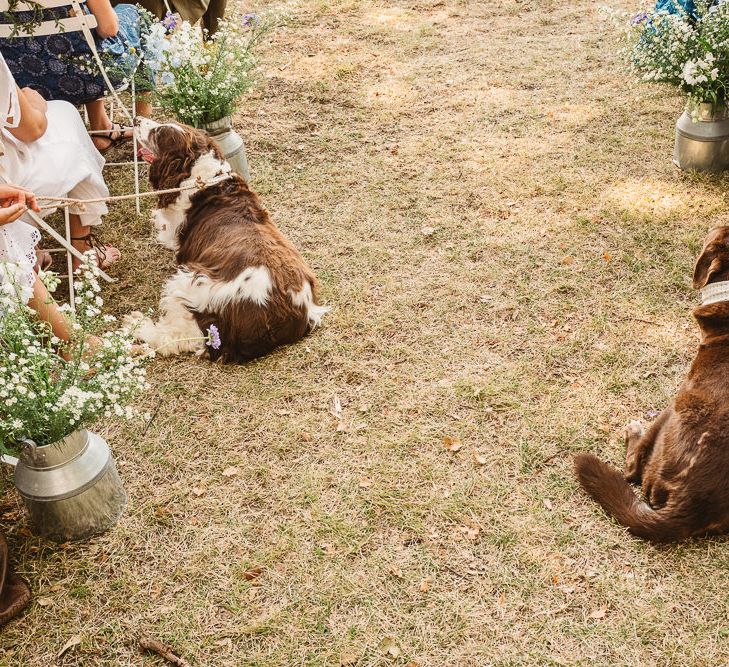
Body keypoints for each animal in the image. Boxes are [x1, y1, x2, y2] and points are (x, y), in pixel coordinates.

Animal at [126, 118, 328, 360]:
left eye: (158, 133)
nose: (136, 120)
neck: (206, 178)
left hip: (192, 282)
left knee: (176, 336)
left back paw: (139, 325)